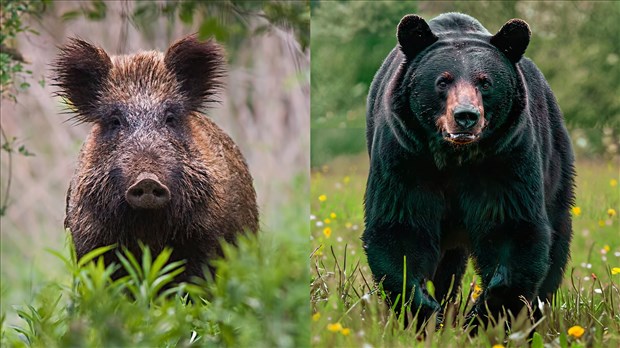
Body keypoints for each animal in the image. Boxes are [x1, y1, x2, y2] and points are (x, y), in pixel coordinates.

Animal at [364, 11, 576, 326]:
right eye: (442, 81)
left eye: (485, 82)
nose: (466, 116)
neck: (456, 158)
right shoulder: (405, 158)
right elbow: (400, 228)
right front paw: (427, 313)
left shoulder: (507, 160)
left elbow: (513, 229)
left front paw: (482, 316)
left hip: (555, 162)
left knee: (557, 238)